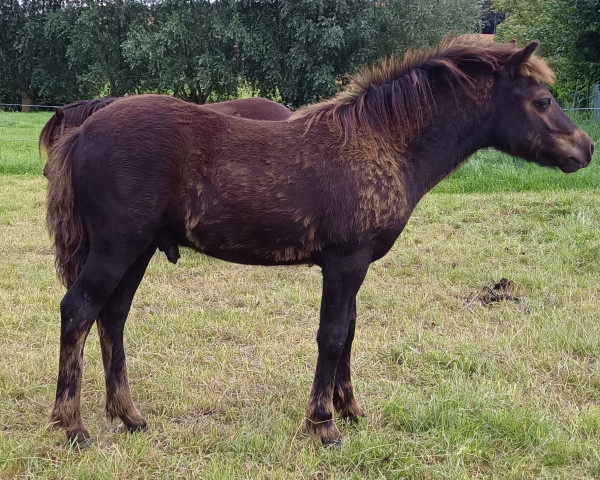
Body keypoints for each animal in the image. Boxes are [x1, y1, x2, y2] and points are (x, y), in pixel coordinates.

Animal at [45, 36, 592, 446]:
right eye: (543, 100)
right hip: (116, 249)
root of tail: (83, 131)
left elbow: (348, 331)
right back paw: (73, 427)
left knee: (112, 317)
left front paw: (350, 409)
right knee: (78, 310)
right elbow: (330, 335)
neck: (381, 142)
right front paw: (323, 423)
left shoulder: (356, 265)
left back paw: (129, 416)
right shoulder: (345, 262)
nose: (585, 149)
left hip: (137, 251)